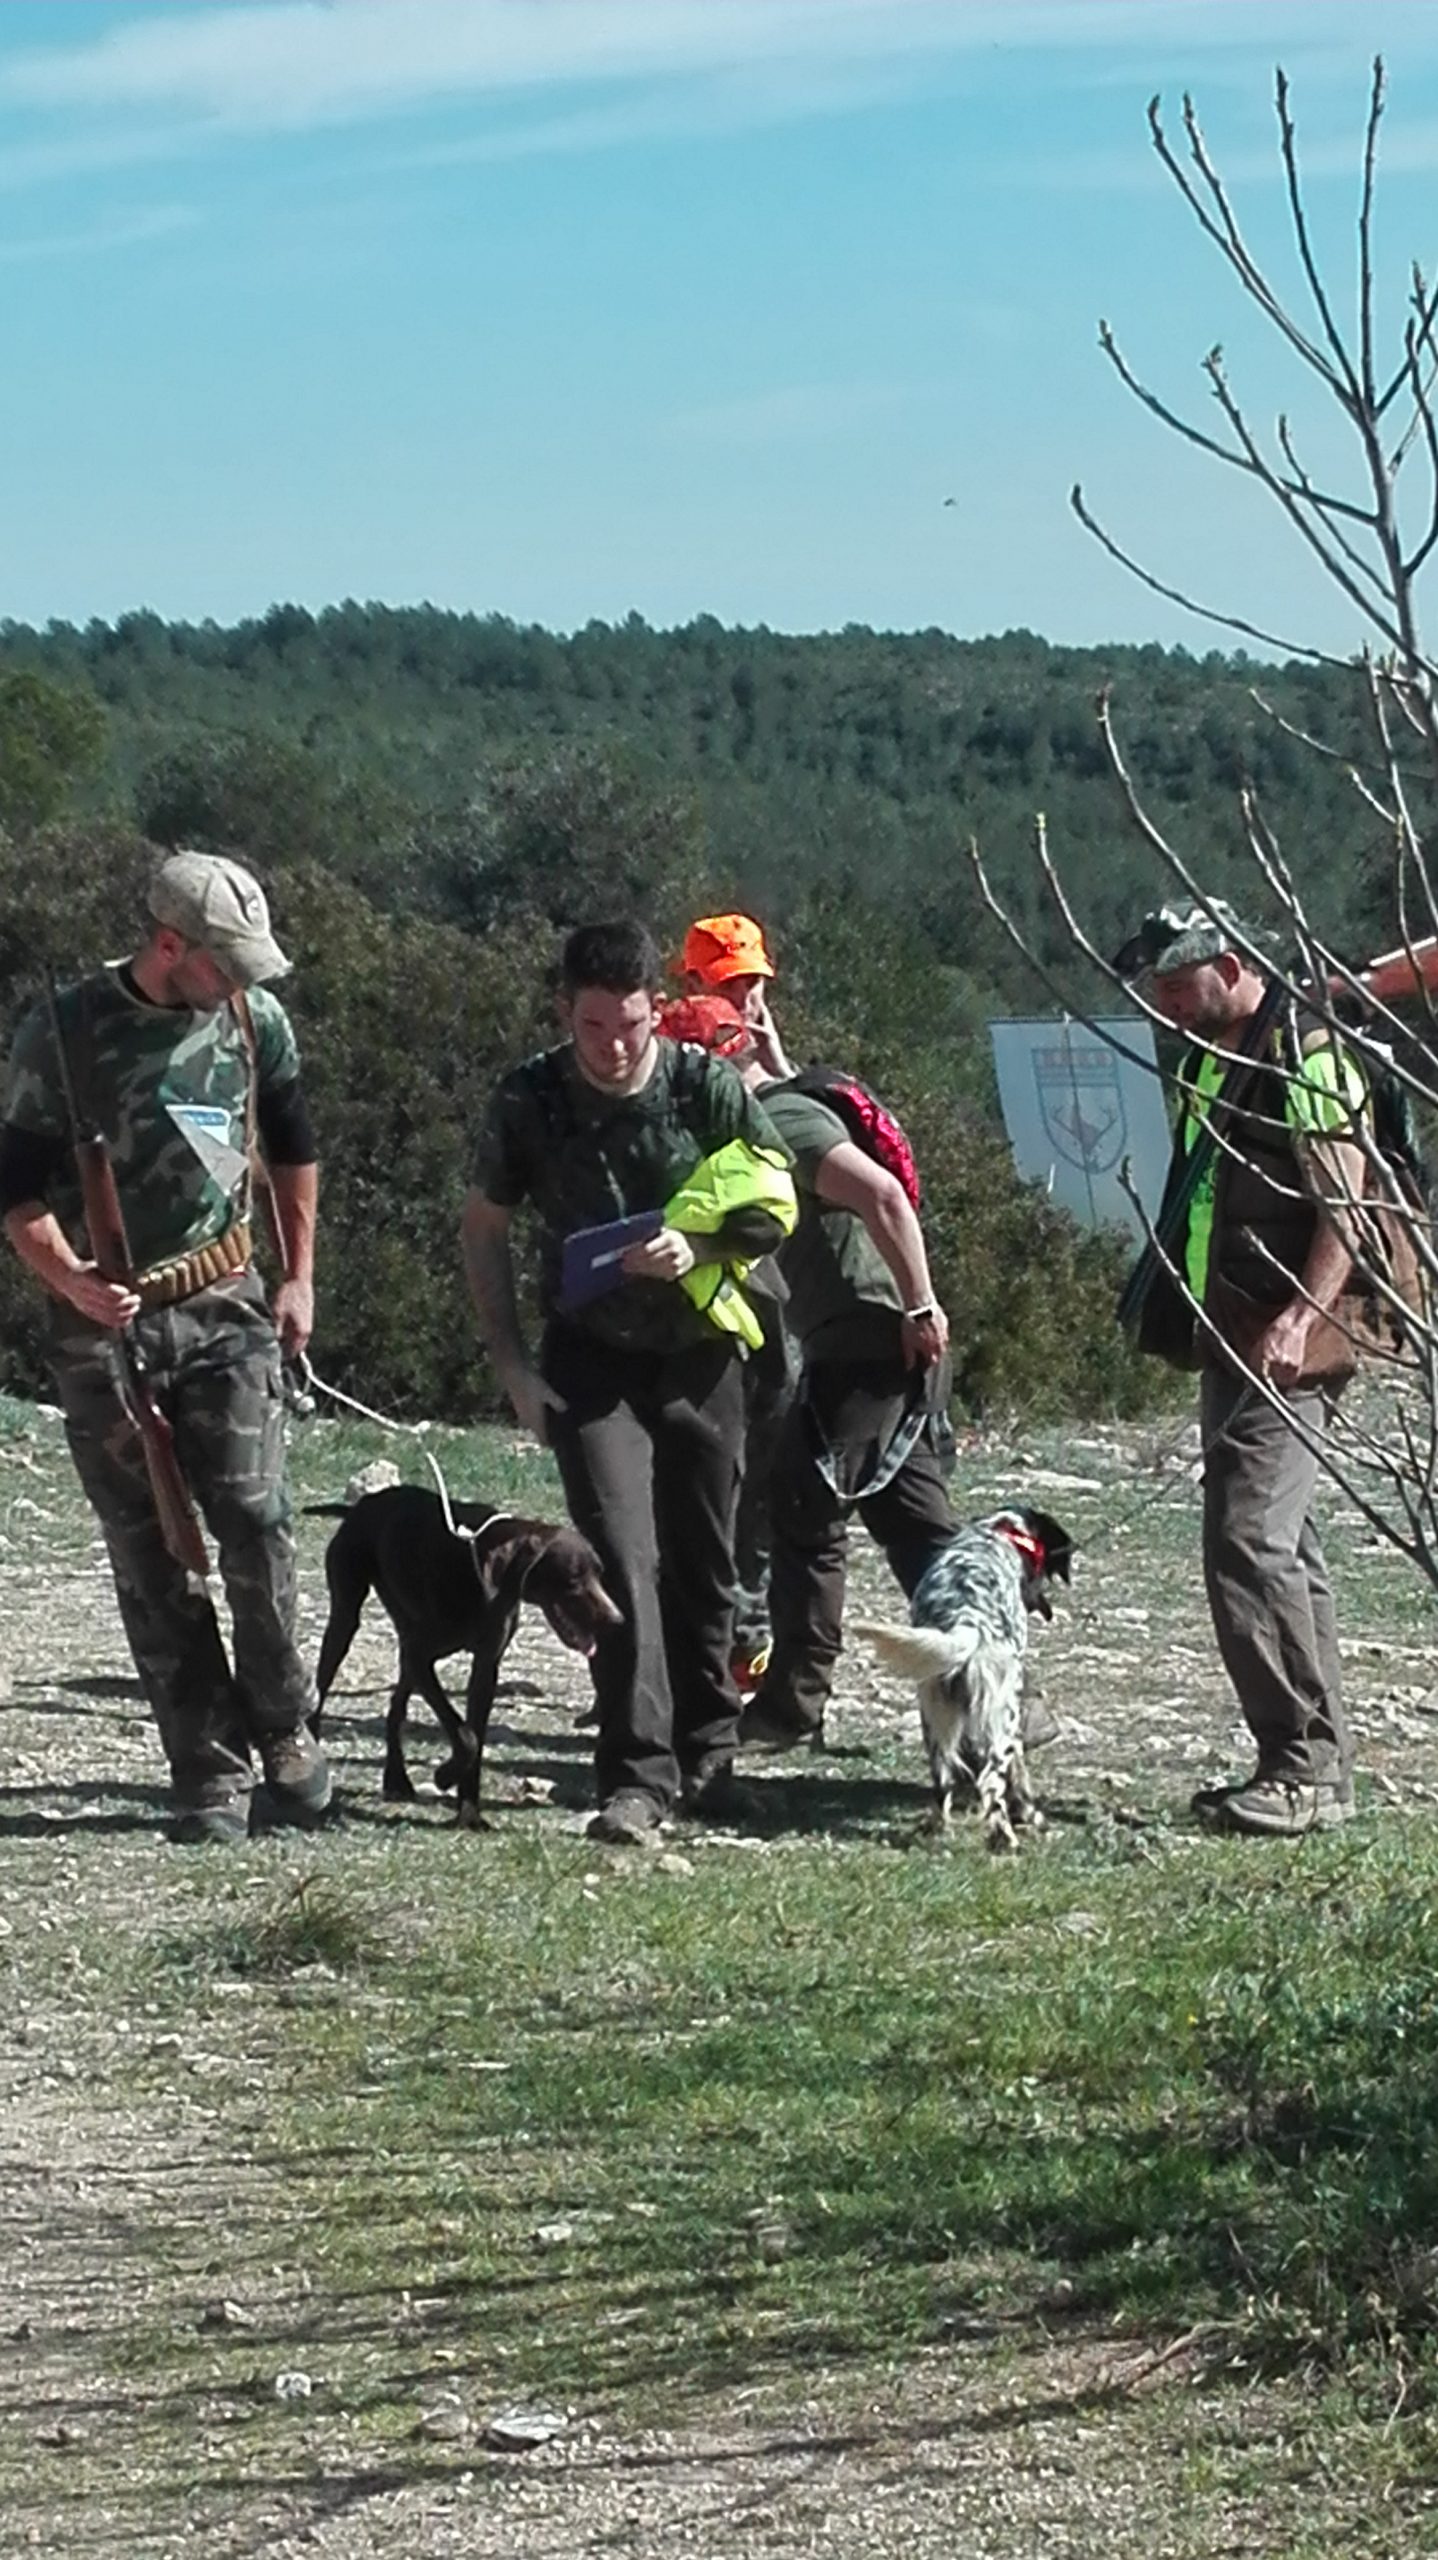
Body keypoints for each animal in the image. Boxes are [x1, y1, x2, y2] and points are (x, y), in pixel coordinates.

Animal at [308, 1484, 621, 1825]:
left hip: (405, 1638)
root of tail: (362, 1505)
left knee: (395, 1708)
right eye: (574, 1579)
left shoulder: (484, 1666)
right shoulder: (421, 1656)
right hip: (347, 1618)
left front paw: (468, 1813)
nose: (617, 1621)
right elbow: (466, 1737)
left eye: (600, 1575)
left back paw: (396, 1778)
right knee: (322, 1687)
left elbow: (475, 1738)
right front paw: (445, 1776)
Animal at [853, 1506, 1073, 1851]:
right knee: (991, 1785)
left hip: (934, 1714)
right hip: (1001, 1717)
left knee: (943, 1778)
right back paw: (1004, 1838)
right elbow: (1018, 1773)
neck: (1003, 1533)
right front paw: (1030, 1814)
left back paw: (936, 1830)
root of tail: (967, 1623)